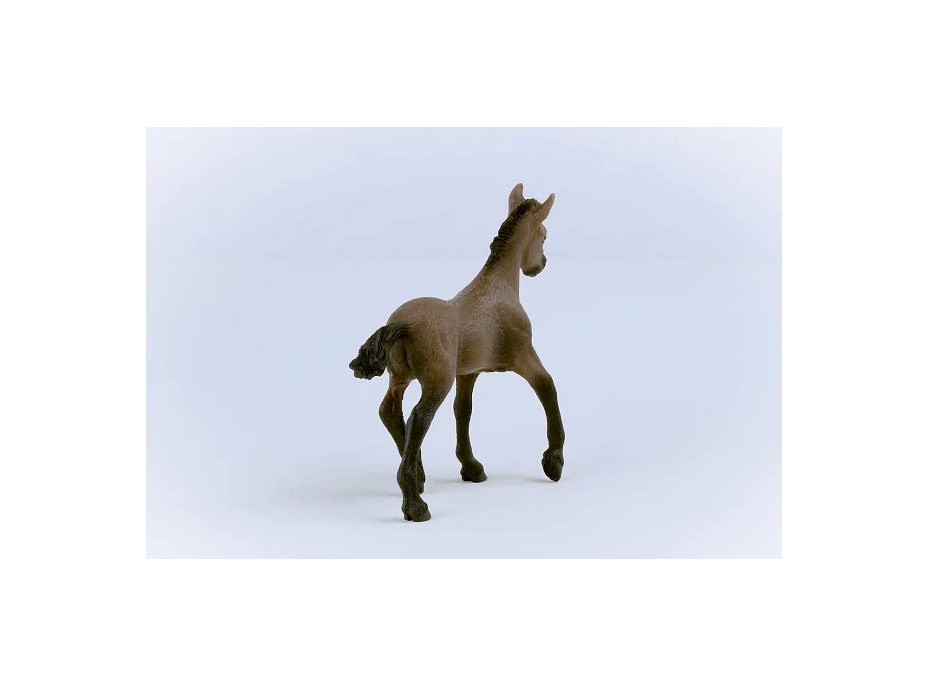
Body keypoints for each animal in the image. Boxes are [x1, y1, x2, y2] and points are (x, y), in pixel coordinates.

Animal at [349, 183, 565, 522]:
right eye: (543, 235)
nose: (538, 266)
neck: (499, 287)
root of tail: (404, 323)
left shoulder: (468, 373)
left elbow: (463, 411)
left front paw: (471, 467)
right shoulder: (523, 356)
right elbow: (547, 387)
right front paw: (553, 461)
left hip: (400, 377)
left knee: (390, 411)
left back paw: (419, 477)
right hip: (437, 380)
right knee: (418, 418)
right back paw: (415, 503)